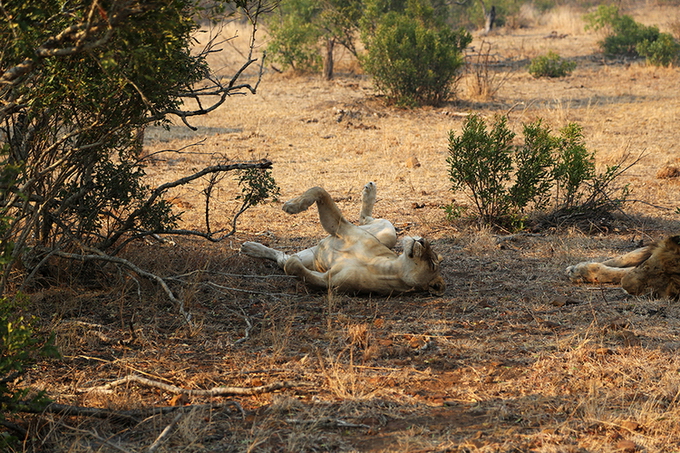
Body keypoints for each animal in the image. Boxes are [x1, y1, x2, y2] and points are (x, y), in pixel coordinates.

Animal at [240, 182, 446, 294]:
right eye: (429, 247)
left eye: (432, 264)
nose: (422, 241)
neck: (391, 267)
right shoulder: (341, 227)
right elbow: (318, 190)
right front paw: (292, 205)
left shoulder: (328, 281)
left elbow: (293, 267)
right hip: (387, 232)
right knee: (366, 218)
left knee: (283, 258)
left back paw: (251, 248)